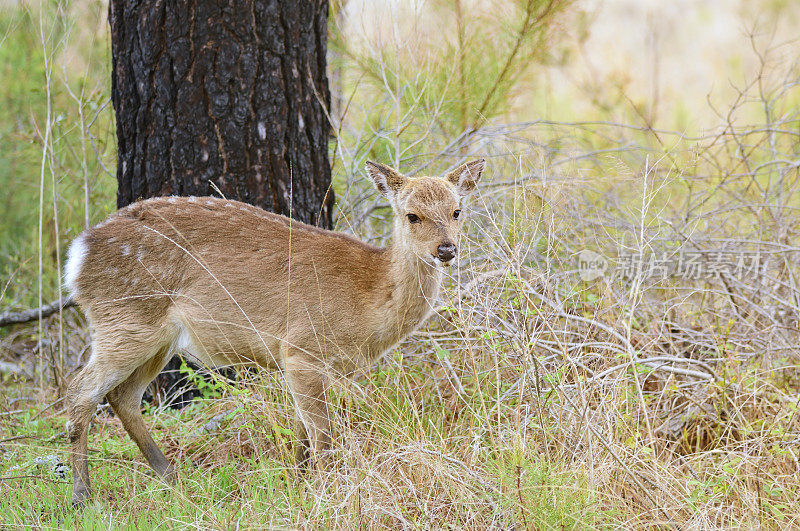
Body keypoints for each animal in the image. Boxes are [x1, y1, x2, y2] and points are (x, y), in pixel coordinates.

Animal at [62, 158, 484, 508]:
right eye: (412, 215)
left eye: (457, 211)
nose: (446, 249)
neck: (368, 299)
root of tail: (77, 255)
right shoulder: (303, 348)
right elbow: (323, 437)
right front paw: (329, 496)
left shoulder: (305, 363)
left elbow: (303, 436)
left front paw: (298, 487)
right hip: (126, 318)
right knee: (80, 389)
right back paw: (82, 497)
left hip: (155, 336)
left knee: (122, 396)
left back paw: (172, 479)